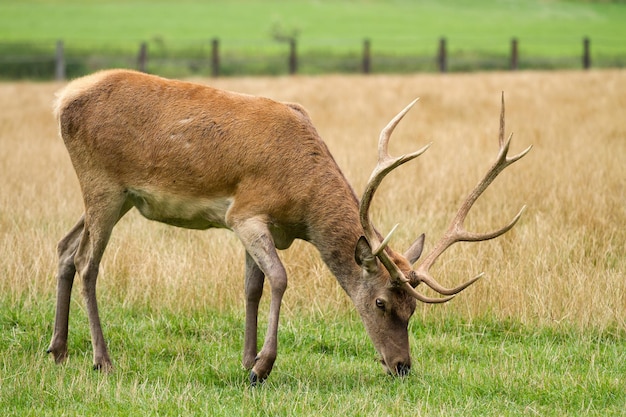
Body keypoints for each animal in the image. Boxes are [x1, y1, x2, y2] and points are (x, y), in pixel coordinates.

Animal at [46, 69, 528, 384]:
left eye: (413, 309)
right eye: (380, 304)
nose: (402, 367)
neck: (302, 202)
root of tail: (62, 99)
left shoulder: (251, 226)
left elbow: (252, 288)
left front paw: (246, 358)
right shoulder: (244, 213)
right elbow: (279, 279)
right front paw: (262, 367)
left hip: (115, 196)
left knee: (65, 248)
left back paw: (59, 349)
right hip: (103, 185)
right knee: (88, 263)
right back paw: (102, 360)